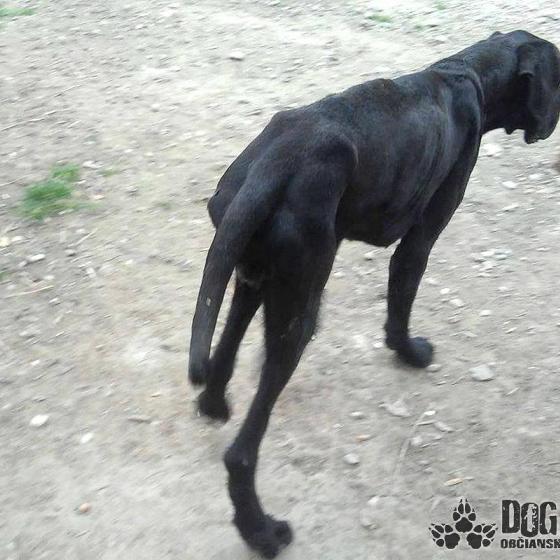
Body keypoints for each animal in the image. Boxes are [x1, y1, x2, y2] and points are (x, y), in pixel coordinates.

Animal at [189, 30, 560, 558]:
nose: (554, 123)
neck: (468, 73)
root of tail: (272, 164)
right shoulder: (420, 238)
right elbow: (400, 304)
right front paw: (409, 353)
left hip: (255, 276)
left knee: (223, 352)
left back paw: (215, 406)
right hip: (297, 313)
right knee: (241, 453)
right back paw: (261, 531)